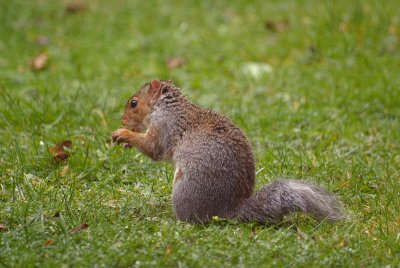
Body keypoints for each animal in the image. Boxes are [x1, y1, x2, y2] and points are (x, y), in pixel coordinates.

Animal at [112, 79, 344, 224]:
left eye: (133, 103)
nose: (123, 120)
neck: (165, 108)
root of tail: (228, 210)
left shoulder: (165, 128)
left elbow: (154, 149)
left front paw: (124, 134)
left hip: (185, 189)